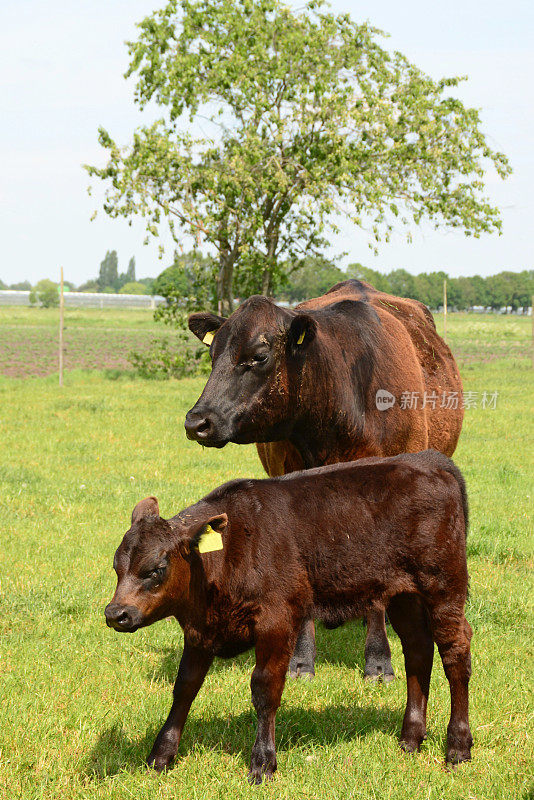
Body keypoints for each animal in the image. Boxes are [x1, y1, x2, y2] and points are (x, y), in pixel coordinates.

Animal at [104, 450, 474, 788]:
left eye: (157, 568)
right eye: (116, 565)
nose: (115, 614)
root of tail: (429, 460)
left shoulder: (276, 621)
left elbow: (265, 688)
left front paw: (262, 763)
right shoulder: (200, 632)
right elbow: (185, 686)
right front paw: (161, 755)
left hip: (443, 584)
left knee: (455, 652)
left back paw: (457, 747)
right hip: (401, 594)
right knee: (418, 649)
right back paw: (411, 737)